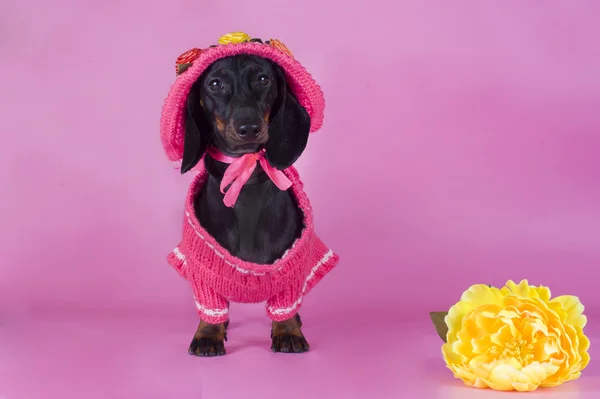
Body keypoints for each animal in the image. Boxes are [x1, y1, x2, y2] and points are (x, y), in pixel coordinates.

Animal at [179, 53, 314, 356]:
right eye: (215, 84)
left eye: (263, 79)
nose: (249, 128)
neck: (246, 177)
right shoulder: (203, 271)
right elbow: (211, 307)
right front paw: (208, 334)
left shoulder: (291, 269)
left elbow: (285, 304)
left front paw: (288, 330)